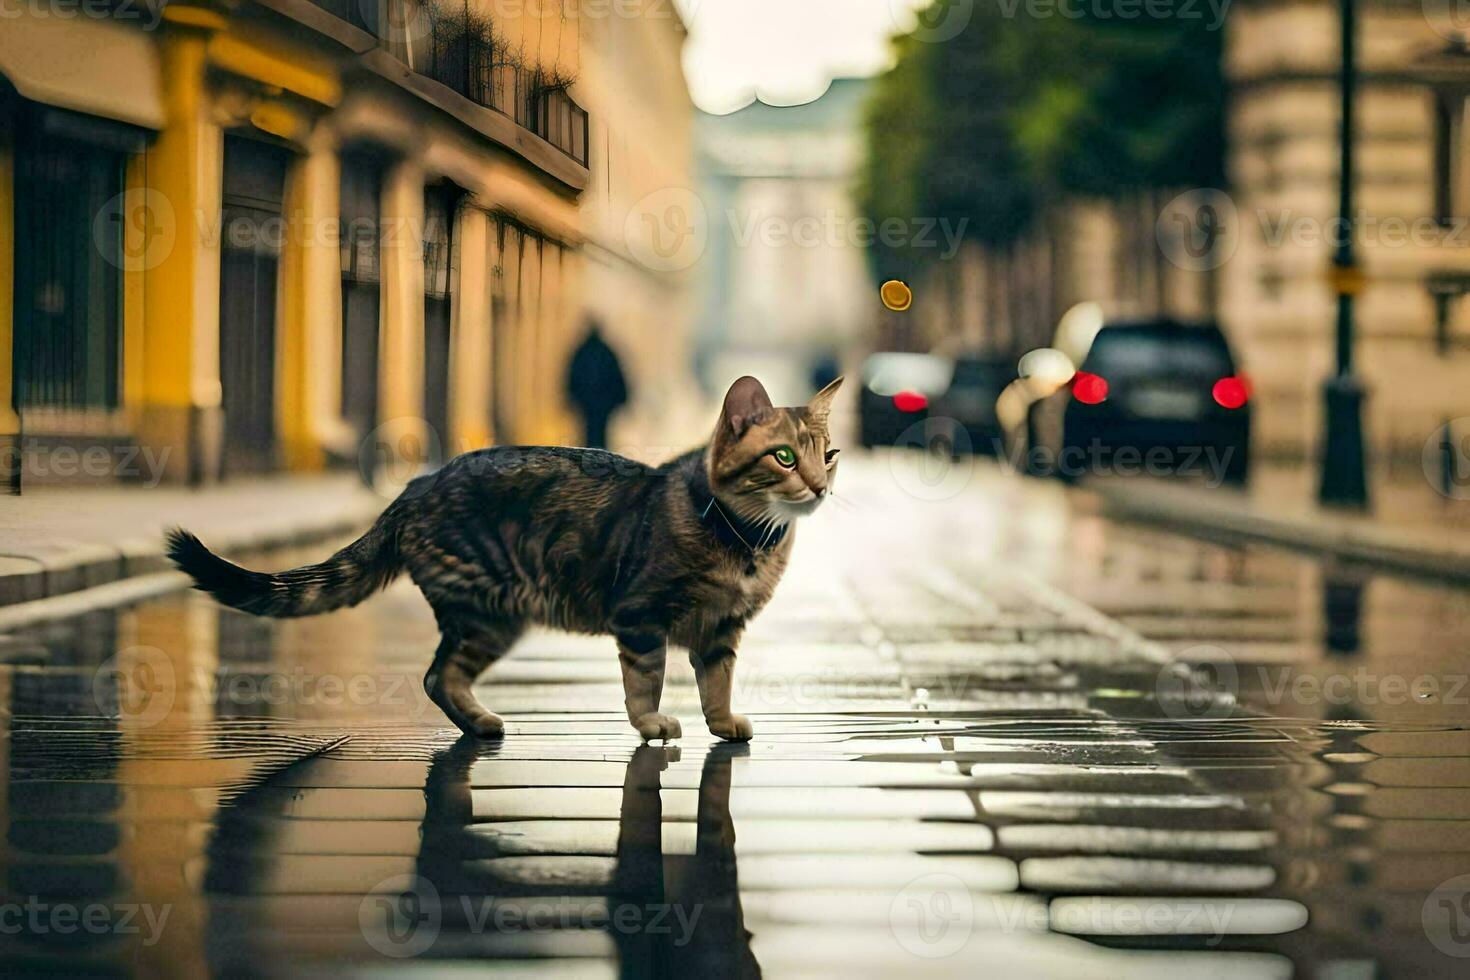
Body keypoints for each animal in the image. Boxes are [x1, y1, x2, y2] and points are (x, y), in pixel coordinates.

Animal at [166, 376, 846, 743]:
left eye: (830, 453)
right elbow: (645, 681)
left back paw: (479, 722)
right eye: (785, 457)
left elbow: (716, 682)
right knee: (436, 675)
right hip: (488, 608)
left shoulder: (722, 631)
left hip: (494, 618)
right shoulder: (640, 616)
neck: (749, 542)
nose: (819, 487)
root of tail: (414, 488)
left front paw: (722, 721)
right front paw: (652, 724)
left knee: (439, 676)